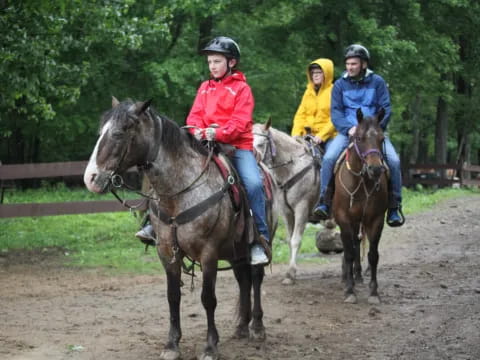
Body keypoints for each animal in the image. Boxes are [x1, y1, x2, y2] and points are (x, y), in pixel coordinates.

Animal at [84, 98, 276, 360]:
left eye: (119, 133)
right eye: (101, 132)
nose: (90, 178)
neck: (179, 191)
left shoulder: (208, 253)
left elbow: (208, 298)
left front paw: (210, 347)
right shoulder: (166, 252)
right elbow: (173, 296)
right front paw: (172, 345)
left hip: (255, 243)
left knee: (255, 278)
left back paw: (257, 327)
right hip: (235, 251)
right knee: (243, 279)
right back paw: (241, 327)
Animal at [334, 107, 390, 304]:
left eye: (382, 139)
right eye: (359, 138)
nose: (375, 169)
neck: (362, 181)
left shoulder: (376, 219)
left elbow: (373, 255)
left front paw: (374, 293)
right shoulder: (344, 219)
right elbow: (349, 253)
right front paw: (350, 291)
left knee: (357, 244)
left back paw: (357, 276)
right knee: (350, 247)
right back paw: (348, 279)